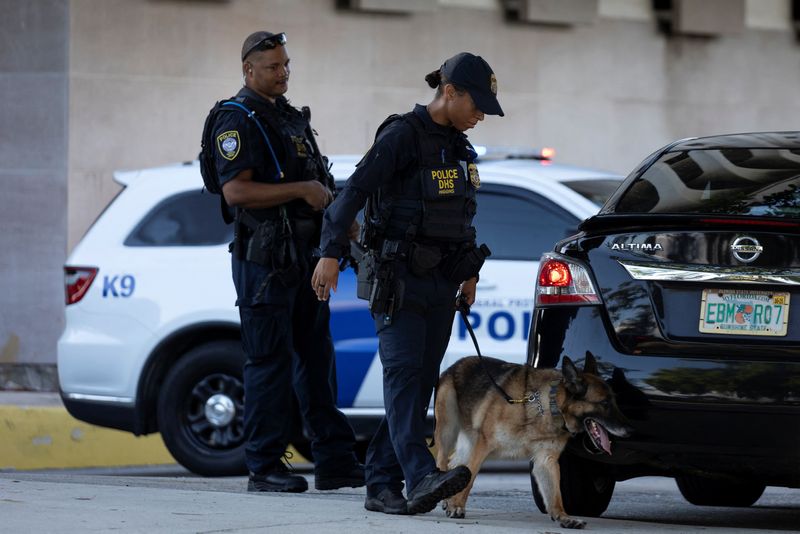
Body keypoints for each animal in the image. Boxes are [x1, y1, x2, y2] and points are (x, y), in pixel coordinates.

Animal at [434, 356, 636, 532]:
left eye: (614, 401)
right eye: (604, 403)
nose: (630, 430)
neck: (550, 405)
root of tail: (456, 364)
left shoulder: (546, 461)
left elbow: (555, 496)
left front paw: (564, 517)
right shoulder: (483, 446)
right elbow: (470, 478)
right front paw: (457, 506)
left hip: (467, 443)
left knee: (455, 463)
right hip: (448, 430)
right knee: (443, 461)